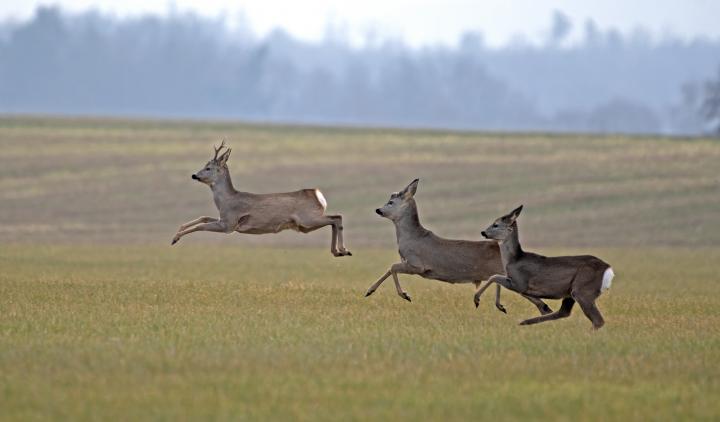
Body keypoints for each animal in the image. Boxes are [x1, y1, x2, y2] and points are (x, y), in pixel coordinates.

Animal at [171, 141, 351, 257]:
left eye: (208, 168)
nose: (194, 175)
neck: (226, 201)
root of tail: (317, 194)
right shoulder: (224, 219)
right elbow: (203, 217)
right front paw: (178, 231)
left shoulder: (229, 224)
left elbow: (201, 226)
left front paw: (175, 239)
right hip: (305, 225)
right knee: (334, 219)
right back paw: (338, 252)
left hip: (307, 219)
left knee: (336, 217)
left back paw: (342, 250)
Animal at [364, 179, 553, 316]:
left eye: (390, 202)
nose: (378, 210)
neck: (410, 238)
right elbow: (390, 268)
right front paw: (369, 291)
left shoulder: (418, 264)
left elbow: (392, 267)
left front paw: (404, 295)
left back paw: (543, 309)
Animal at [479, 205, 615, 329]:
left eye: (496, 224)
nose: (483, 232)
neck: (514, 260)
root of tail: (608, 269)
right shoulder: (519, 285)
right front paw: (543, 307)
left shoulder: (520, 282)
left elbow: (494, 277)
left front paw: (479, 300)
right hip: (571, 292)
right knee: (564, 312)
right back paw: (525, 321)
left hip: (583, 289)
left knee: (597, 320)